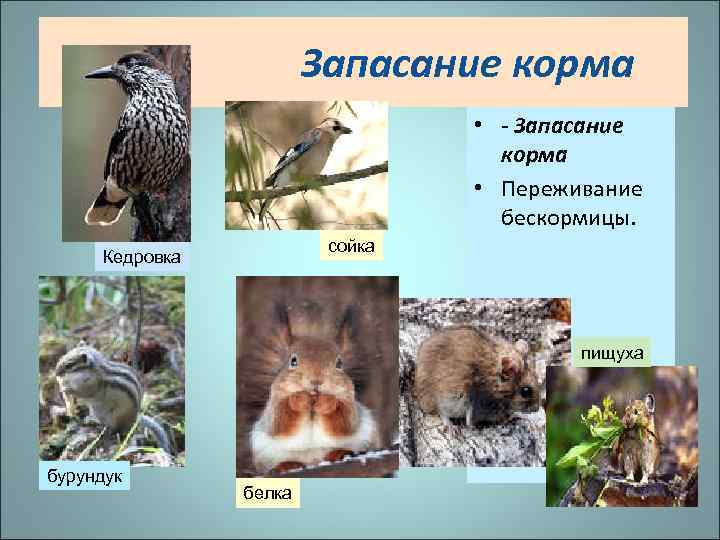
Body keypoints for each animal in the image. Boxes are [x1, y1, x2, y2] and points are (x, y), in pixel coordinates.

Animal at [250, 303, 380, 475]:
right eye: (293, 360)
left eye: (339, 363)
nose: (316, 381)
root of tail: (313, 461)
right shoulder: (273, 404)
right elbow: (279, 421)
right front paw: (299, 399)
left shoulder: (350, 401)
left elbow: (346, 421)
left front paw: (327, 401)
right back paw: (287, 465)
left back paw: (339, 453)